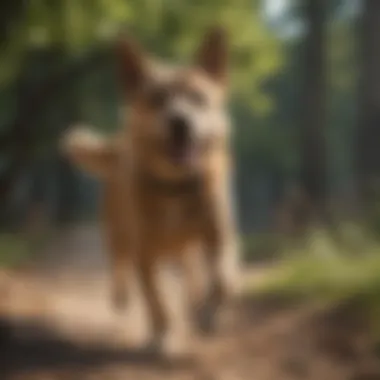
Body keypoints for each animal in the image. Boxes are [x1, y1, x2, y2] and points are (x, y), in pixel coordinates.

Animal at [62, 26, 240, 352]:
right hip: (117, 234)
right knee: (121, 266)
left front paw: (207, 315)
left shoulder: (220, 236)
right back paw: (124, 299)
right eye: (157, 99)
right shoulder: (144, 253)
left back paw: (195, 305)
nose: (180, 121)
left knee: (194, 277)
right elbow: (157, 301)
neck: (174, 187)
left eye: (198, 98)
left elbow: (224, 280)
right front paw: (163, 336)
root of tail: (119, 141)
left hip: (188, 250)